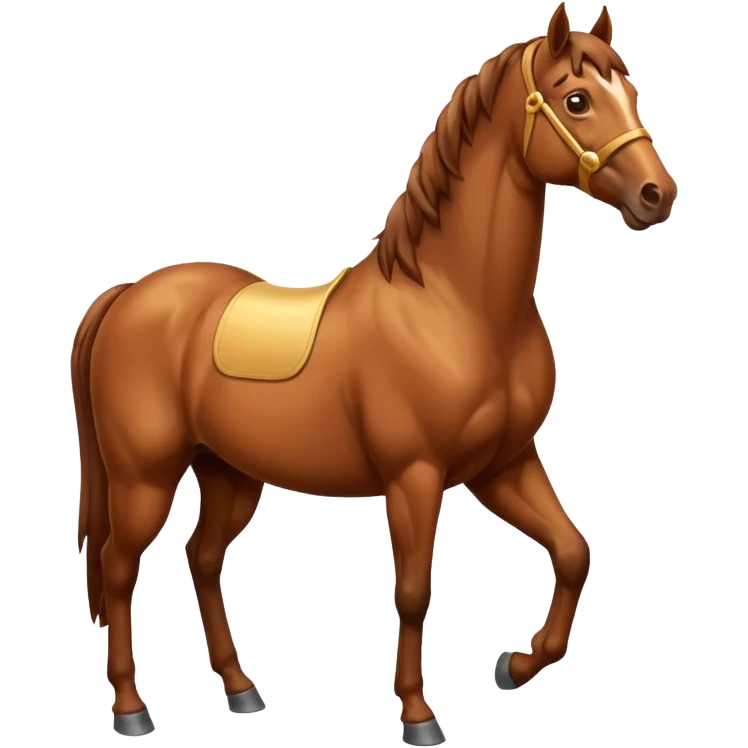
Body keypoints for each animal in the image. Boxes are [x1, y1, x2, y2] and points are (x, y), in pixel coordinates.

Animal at [71, 4, 676, 744]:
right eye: (578, 100)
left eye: (633, 92)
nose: (657, 194)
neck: (454, 305)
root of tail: (127, 295)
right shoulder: (415, 477)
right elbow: (413, 592)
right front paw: (418, 714)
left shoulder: (503, 465)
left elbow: (573, 551)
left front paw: (516, 664)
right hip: (145, 477)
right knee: (117, 569)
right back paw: (131, 710)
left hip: (229, 473)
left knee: (203, 558)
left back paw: (241, 690)